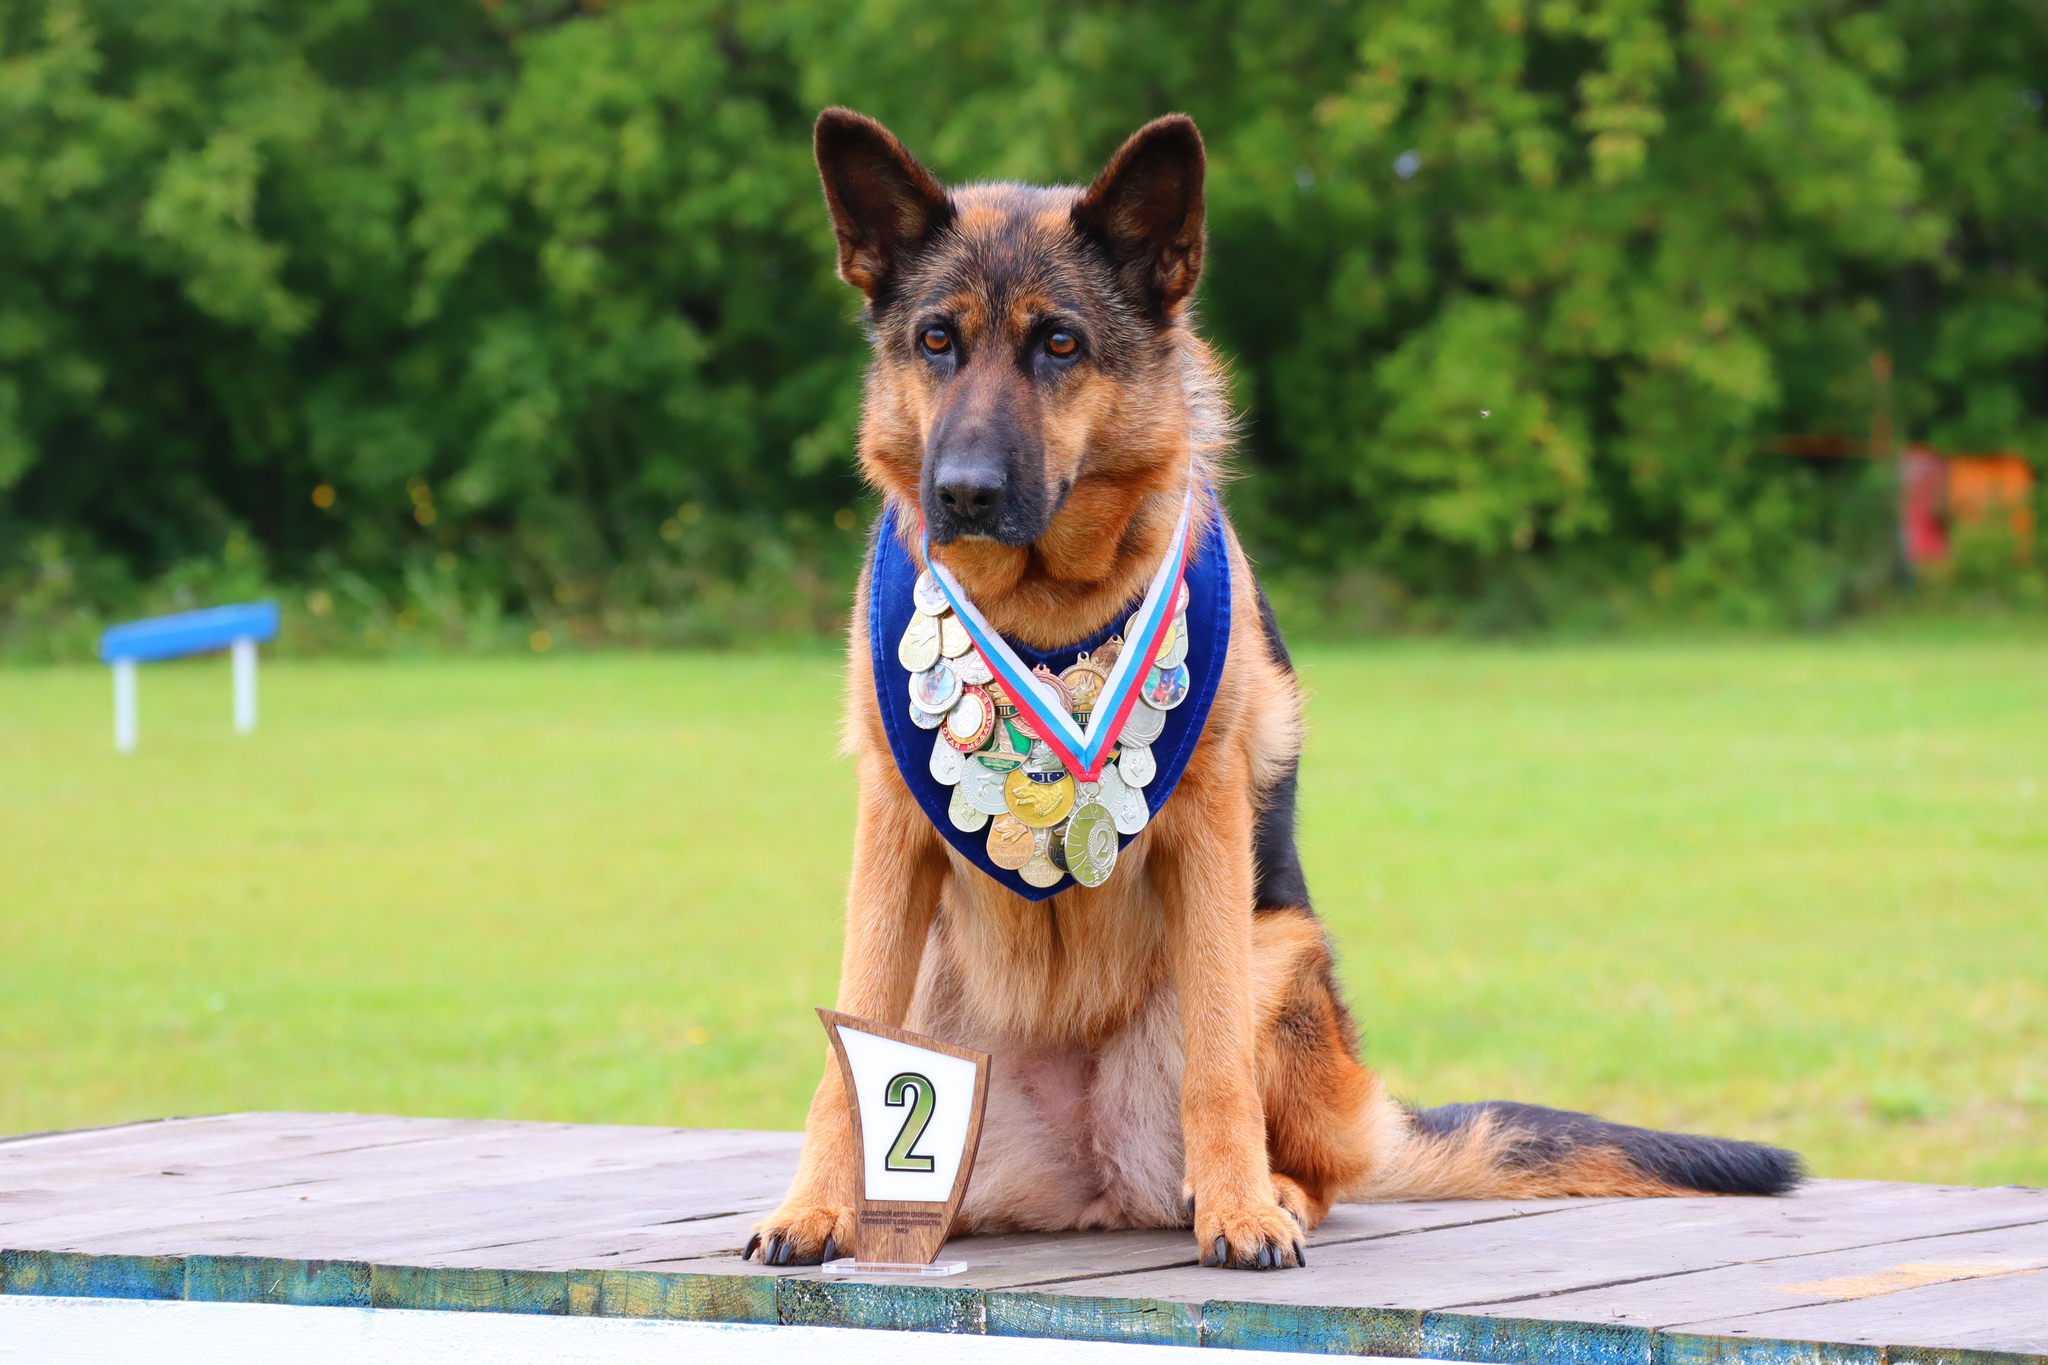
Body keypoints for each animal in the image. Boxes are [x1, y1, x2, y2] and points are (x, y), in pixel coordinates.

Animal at [749, 112, 1794, 1277]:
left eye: (1059, 344)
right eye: (937, 341)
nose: (963, 493)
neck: (1046, 618)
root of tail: (1091, 1189)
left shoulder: (1207, 835)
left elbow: (1217, 1059)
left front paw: (1242, 1210)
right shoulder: (889, 833)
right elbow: (845, 1043)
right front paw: (815, 1205)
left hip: (1281, 954)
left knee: (1314, 1158)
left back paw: (1268, 1191)